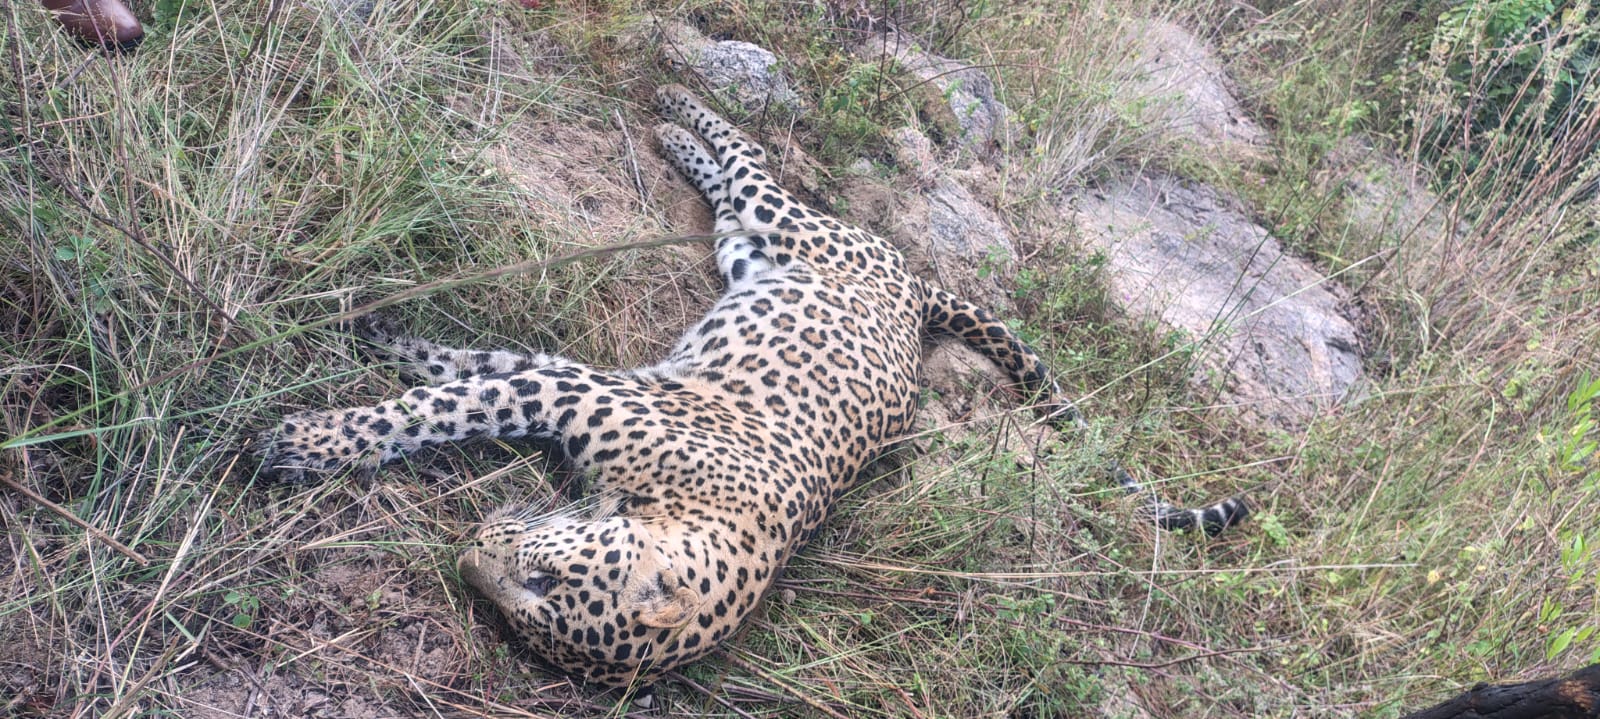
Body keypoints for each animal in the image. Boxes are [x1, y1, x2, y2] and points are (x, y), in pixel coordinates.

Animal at [257, 84, 1248, 687]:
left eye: (528, 604)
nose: (468, 554)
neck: (683, 512)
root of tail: (915, 287)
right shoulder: (574, 386)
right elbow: (443, 391)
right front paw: (326, 406)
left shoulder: (573, 388)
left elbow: (451, 391)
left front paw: (337, 395)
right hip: (791, 233)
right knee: (750, 163)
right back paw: (674, 113)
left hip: (755, 248)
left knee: (739, 189)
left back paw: (670, 128)